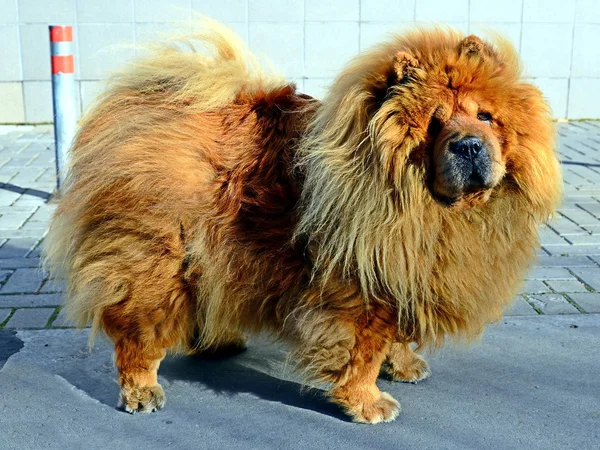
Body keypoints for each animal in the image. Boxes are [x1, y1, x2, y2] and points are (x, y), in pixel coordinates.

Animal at [43, 22, 564, 424]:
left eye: (486, 117)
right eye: (435, 124)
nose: (469, 145)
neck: (427, 206)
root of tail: (143, 106)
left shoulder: (404, 269)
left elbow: (396, 332)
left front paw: (404, 364)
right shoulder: (360, 285)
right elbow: (362, 350)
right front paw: (369, 402)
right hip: (156, 263)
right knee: (136, 332)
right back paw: (142, 391)